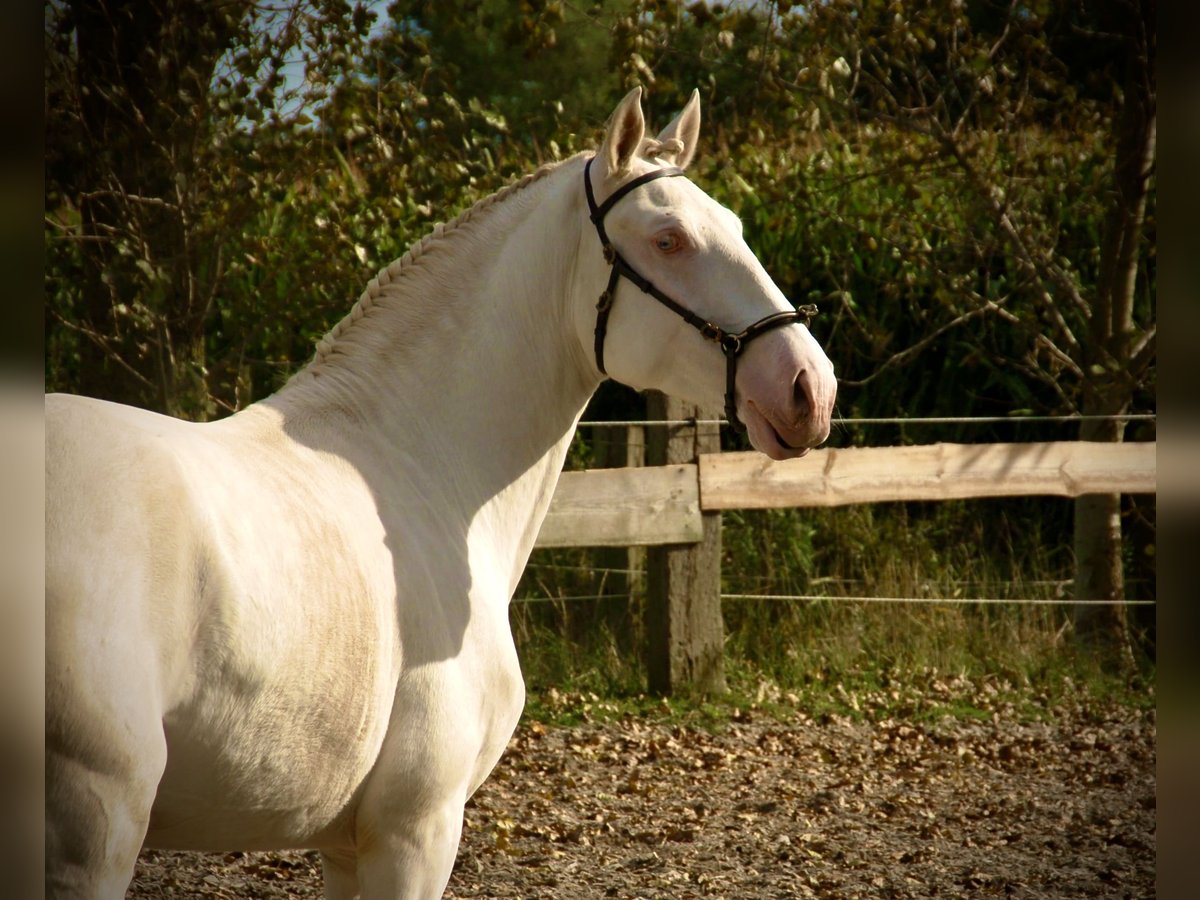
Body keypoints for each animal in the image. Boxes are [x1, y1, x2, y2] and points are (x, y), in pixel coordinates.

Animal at [46, 88, 835, 897]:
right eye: (669, 239)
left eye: (733, 226)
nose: (811, 386)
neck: (420, 464)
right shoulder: (415, 831)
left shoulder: (345, 847)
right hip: (99, 824)